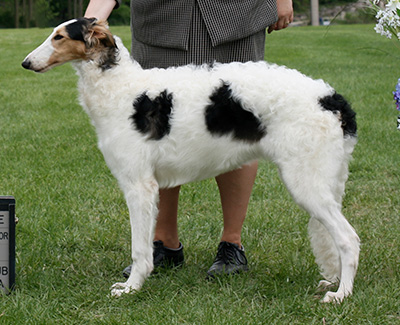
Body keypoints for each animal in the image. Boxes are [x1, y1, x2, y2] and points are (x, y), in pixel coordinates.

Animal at [21, 17, 360, 302]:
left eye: (59, 36)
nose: (25, 63)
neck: (121, 88)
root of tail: (334, 99)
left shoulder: (138, 185)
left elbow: (139, 249)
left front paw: (131, 288)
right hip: (323, 181)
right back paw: (333, 282)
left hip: (306, 183)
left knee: (348, 239)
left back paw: (341, 295)